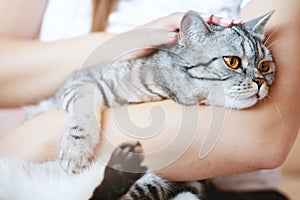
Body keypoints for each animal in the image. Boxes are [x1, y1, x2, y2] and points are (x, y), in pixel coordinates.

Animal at [0, 10, 282, 199]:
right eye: (232, 62)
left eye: (264, 66)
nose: (259, 81)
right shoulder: (81, 82)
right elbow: (83, 111)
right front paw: (76, 150)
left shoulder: (191, 182)